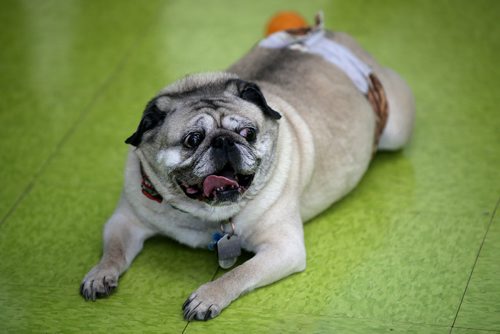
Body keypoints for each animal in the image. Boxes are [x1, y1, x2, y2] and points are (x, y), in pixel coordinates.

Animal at [79, 23, 414, 320]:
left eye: (248, 133)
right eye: (193, 140)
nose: (224, 141)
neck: (203, 216)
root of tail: (324, 33)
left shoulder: (283, 248)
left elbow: (240, 273)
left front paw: (208, 296)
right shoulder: (125, 221)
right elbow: (114, 250)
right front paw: (101, 274)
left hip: (395, 130)